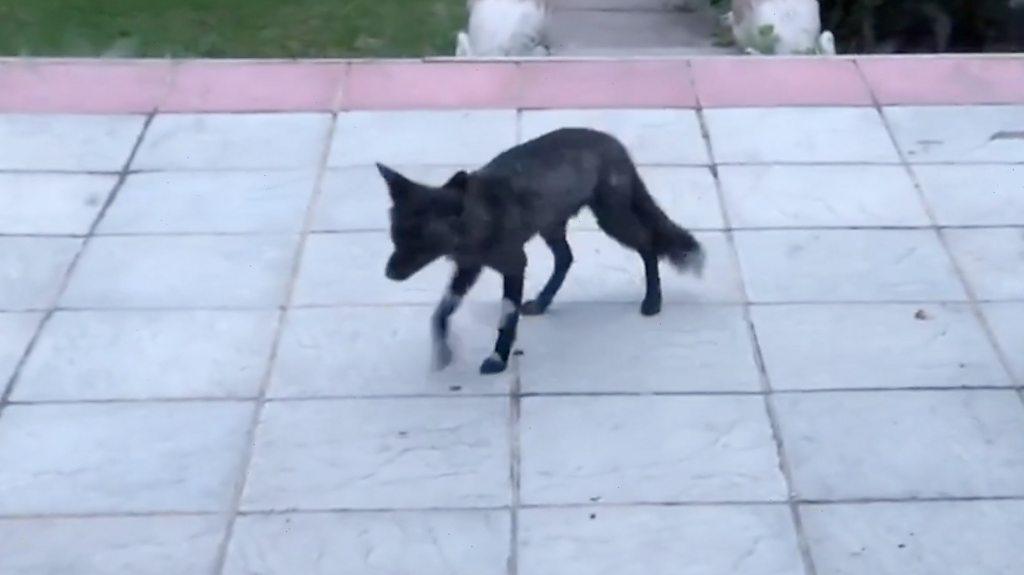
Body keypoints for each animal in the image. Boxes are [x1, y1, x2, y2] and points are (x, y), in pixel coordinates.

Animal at [376, 127, 704, 374]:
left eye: (420, 241)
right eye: (396, 236)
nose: (389, 274)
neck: (480, 220)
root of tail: (612, 142)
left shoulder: (514, 264)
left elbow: (506, 319)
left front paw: (498, 359)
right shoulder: (468, 268)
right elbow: (440, 313)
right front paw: (443, 353)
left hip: (611, 220)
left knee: (647, 244)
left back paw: (653, 300)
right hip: (552, 228)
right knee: (566, 258)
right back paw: (543, 302)